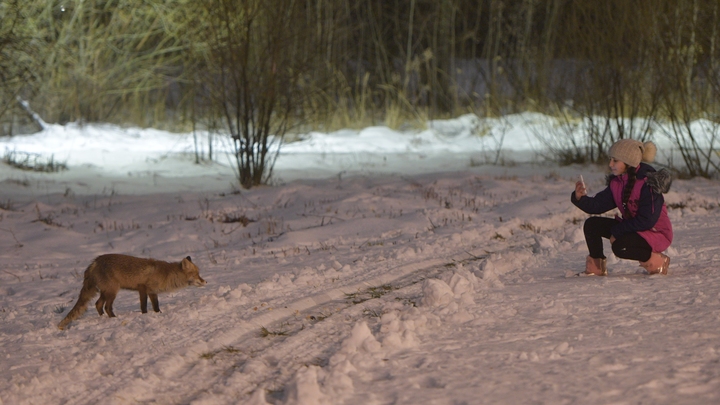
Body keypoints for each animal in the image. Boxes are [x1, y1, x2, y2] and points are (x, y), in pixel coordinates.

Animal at [57, 254, 207, 330]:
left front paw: (158, 314)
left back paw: (103, 318)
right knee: (107, 307)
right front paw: (145, 316)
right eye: (196, 274)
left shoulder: (152, 292)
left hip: (106, 292)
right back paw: (114, 319)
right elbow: (144, 306)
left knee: (98, 305)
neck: (165, 274)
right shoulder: (143, 288)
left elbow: (156, 306)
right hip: (112, 291)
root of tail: (95, 262)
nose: (205, 282)